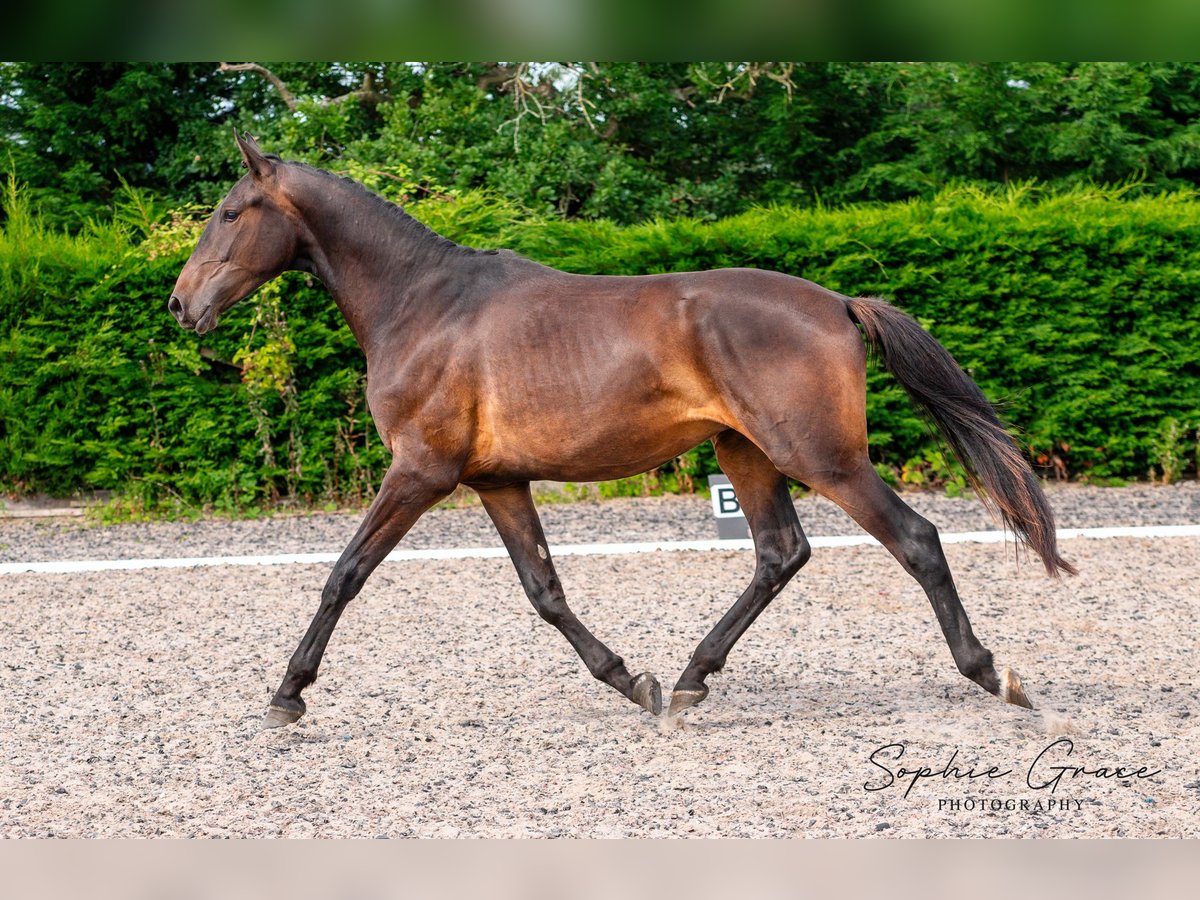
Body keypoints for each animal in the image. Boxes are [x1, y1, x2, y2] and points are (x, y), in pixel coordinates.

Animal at [171, 132, 1080, 734]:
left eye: (229, 212)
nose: (182, 306)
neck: (422, 302)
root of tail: (836, 303)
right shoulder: (496, 480)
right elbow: (545, 591)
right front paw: (628, 680)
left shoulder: (421, 472)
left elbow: (344, 575)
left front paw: (288, 693)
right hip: (744, 452)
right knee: (780, 553)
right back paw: (687, 681)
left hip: (821, 457)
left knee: (915, 540)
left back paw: (995, 676)